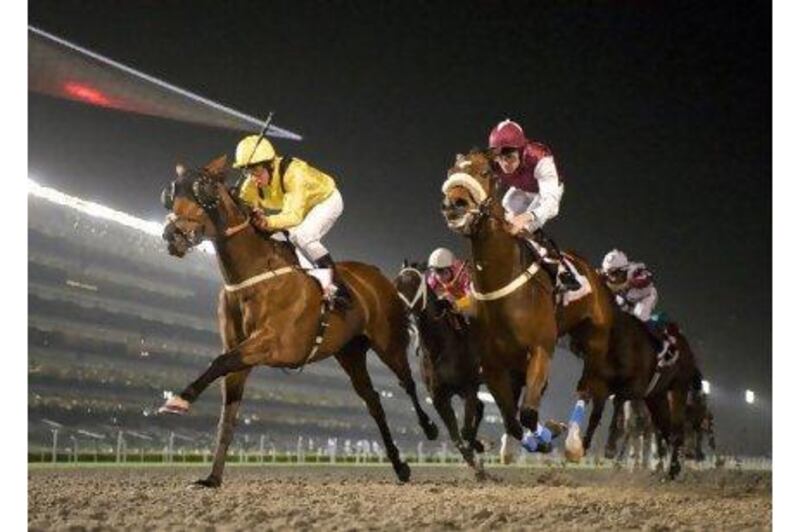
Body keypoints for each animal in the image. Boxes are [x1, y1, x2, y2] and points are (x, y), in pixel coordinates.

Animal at [157, 157, 438, 486]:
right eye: (171, 194)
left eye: (203, 190)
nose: (172, 235)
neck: (253, 275)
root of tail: (377, 274)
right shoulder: (242, 353)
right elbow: (227, 413)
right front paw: (212, 478)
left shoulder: (270, 343)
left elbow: (218, 362)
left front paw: (179, 400)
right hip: (350, 353)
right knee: (373, 401)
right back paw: (399, 465)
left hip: (388, 342)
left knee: (407, 384)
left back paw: (430, 428)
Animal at [392, 262, 482, 474]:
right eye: (396, 283)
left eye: (414, 283)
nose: (397, 310)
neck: (441, 347)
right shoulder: (439, 396)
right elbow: (456, 436)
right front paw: (475, 463)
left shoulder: (469, 387)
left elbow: (465, 430)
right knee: (481, 408)